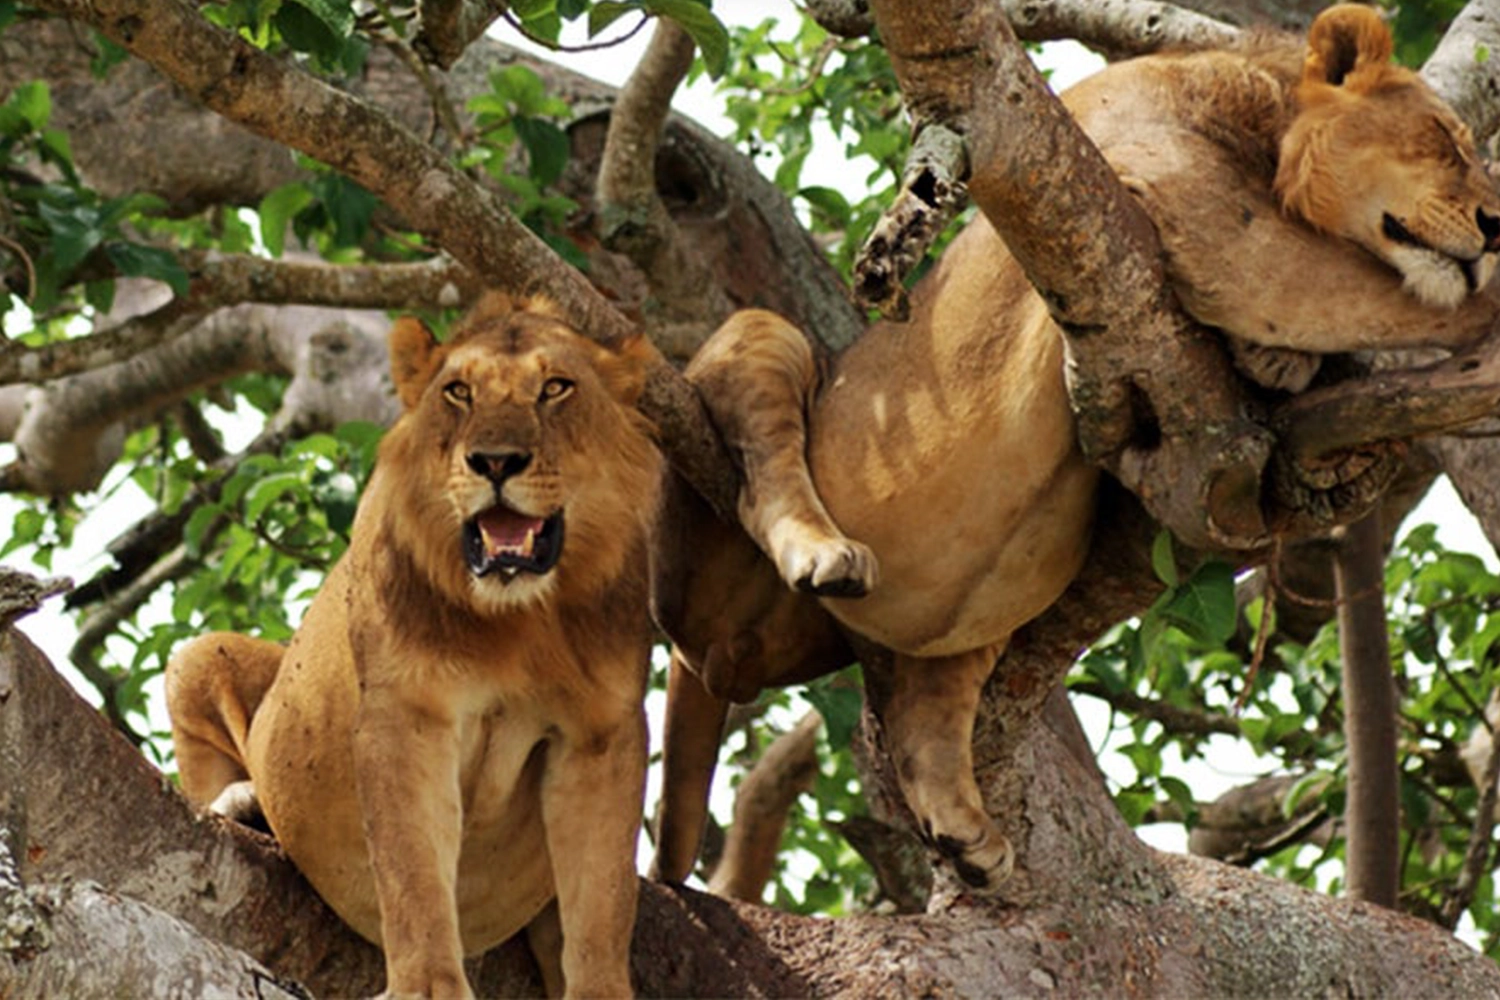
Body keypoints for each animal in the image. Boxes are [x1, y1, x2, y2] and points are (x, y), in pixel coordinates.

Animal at [165, 293, 663, 995]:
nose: (495, 461)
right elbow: (413, 874)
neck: (518, 620)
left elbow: (602, 900)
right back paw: (244, 802)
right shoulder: (407, 714)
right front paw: (427, 986)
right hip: (198, 656)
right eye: (458, 392)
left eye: (555, 388)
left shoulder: (602, 733)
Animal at [654, 5, 1500, 899]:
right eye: (1444, 139)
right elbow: (1379, 293)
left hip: (965, 621)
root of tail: (713, 661)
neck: (1264, 123)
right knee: (763, 472)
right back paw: (822, 553)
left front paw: (1276, 361)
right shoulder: (1174, 188)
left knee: (925, 702)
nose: (1495, 227)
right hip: (763, 350)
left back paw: (963, 833)